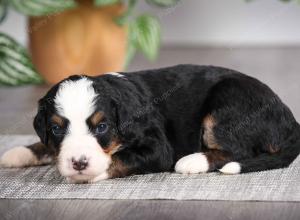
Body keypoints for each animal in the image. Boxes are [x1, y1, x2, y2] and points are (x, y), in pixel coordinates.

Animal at [0, 64, 300, 183]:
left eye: (101, 127)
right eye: (56, 128)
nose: (79, 163)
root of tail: (289, 118)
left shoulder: (157, 147)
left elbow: (119, 158)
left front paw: (90, 172)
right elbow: (45, 144)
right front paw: (20, 152)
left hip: (226, 102)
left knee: (239, 150)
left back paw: (192, 161)